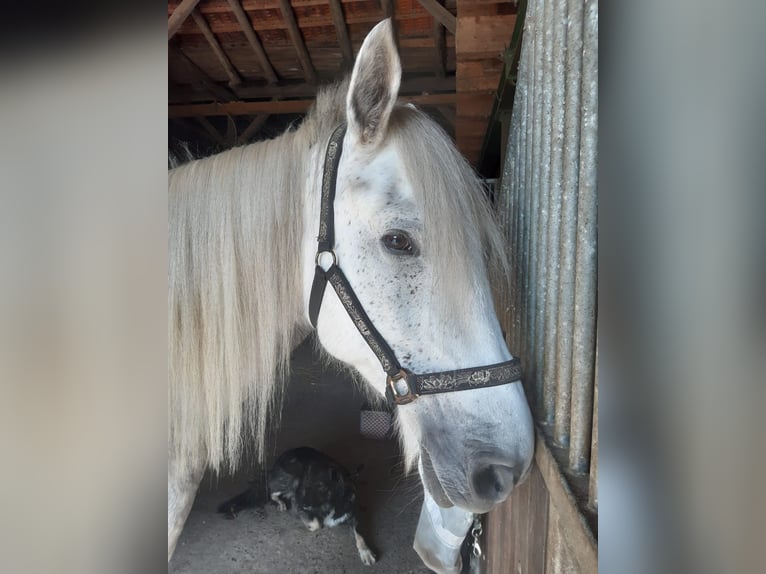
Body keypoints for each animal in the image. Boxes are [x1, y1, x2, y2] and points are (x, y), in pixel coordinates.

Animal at [218, 448, 376, 564]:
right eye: (308, 483)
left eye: (321, 486)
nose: (302, 504)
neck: (333, 503)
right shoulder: (301, 504)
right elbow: (317, 523)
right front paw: (309, 525)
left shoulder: (352, 514)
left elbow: (360, 534)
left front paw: (366, 551)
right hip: (291, 477)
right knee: (271, 491)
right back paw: (281, 502)